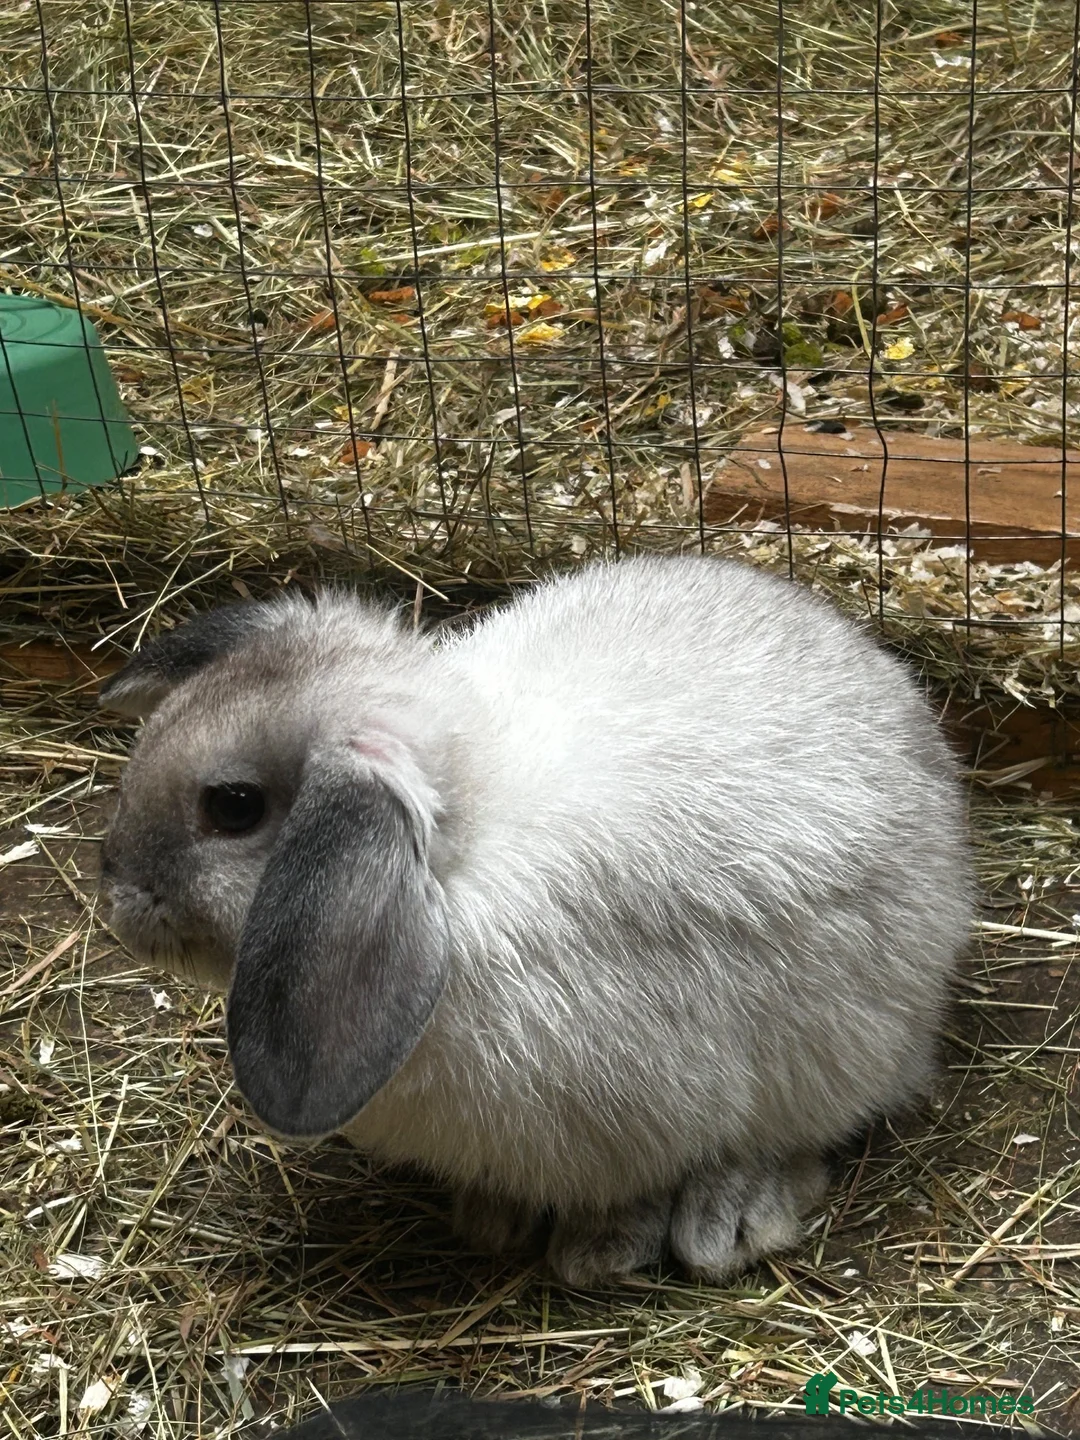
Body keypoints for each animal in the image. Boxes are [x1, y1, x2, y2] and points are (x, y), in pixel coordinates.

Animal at [99, 554, 974, 1287]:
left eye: (233, 807)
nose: (115, 896)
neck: (454, 859)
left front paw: (600, 1250)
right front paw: (493, 1218)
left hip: (848, 1048)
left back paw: (727, 1218)